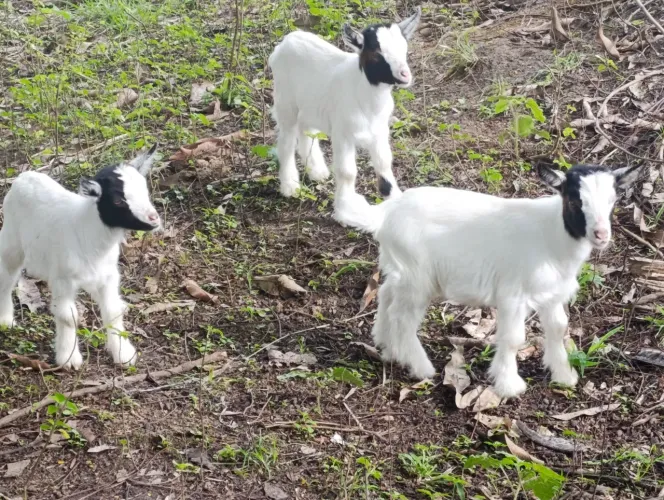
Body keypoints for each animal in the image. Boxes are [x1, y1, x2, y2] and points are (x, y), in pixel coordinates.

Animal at [0, 145, 162, 369]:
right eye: (118, 200)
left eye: (144, 191)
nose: (154, 219)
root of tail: (24, 176)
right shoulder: (63, 279)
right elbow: (68, 316)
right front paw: (69, 359)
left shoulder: (108, 276)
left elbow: (113, 310)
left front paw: (124, 354)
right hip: (11, 241)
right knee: (6, 278)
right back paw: (6, 320)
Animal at [268, 7, 421, 210]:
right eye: (377, 53)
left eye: (404, 49)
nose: (405, 75)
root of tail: (284, 43)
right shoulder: (343, 134)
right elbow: (347, 171)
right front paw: (346, 205)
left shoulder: (380, 131)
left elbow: (383, 163)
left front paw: (394, 198)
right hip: (285, 101)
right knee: (286, 140)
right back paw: (290, 185)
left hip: (309, 104)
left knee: (306, 129)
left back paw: (317, 171)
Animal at [334, 162, 643, 398]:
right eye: (575, 200)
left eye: (613, 201)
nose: (601, 234)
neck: (552, 235)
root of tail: (387, 211)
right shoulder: (513, 293)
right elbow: (514, 339)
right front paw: (509, 385)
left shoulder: (552, 294)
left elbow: (558, 329)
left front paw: (564, 375)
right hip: (416, 275)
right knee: (403, 317)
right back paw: (421, 367)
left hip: (399, 267)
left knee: (386, 294)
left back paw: (386, 347)